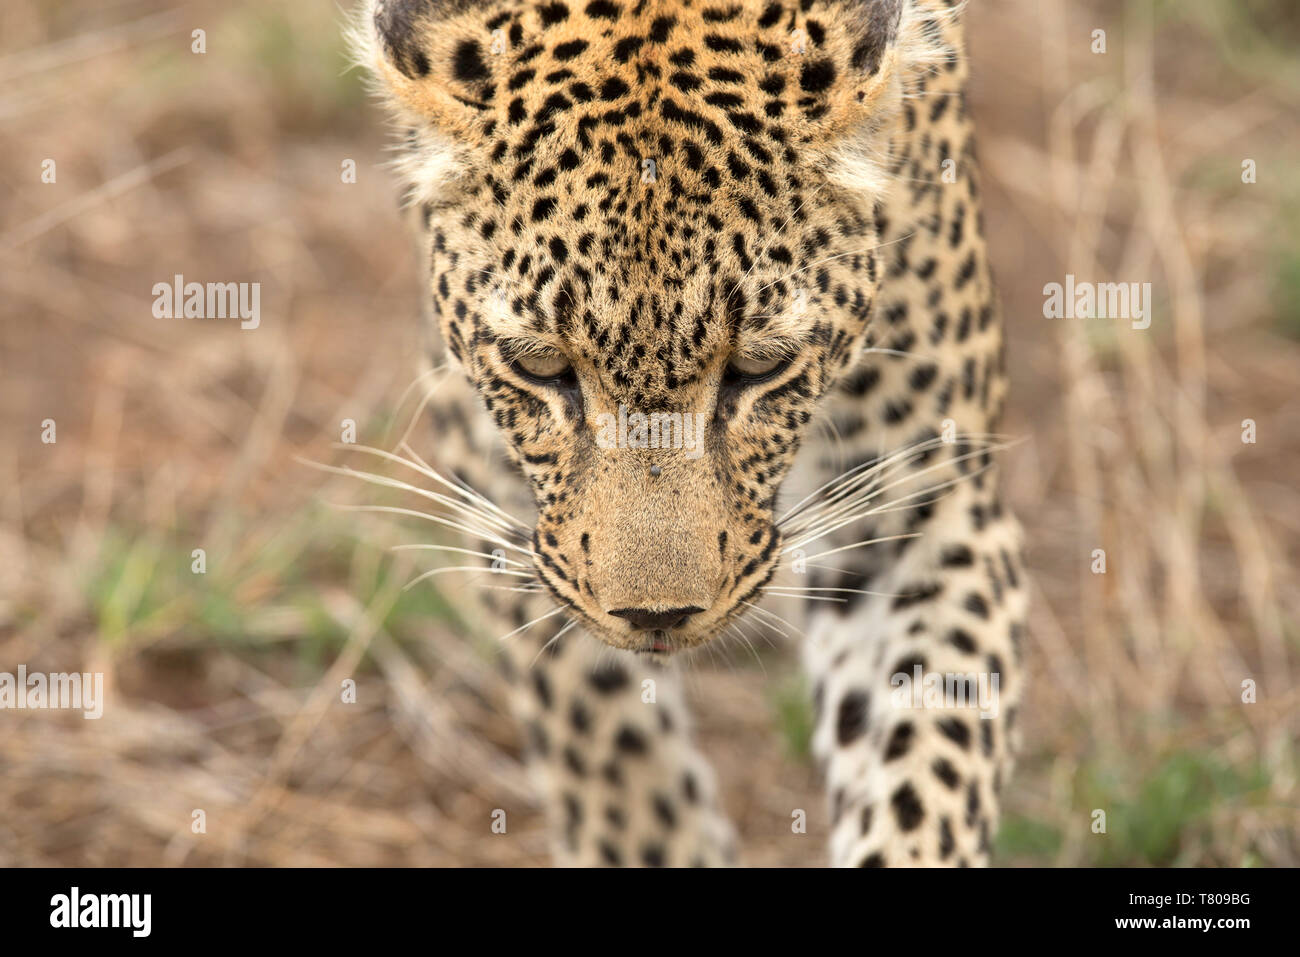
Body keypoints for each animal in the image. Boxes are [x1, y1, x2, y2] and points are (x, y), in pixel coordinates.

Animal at [353, 0, 1024, 868]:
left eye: (759, 367)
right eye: (541, 367)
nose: (657, 617)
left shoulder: (924, 500)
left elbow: (929, 759)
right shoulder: (500, 489)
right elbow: (599, 731)